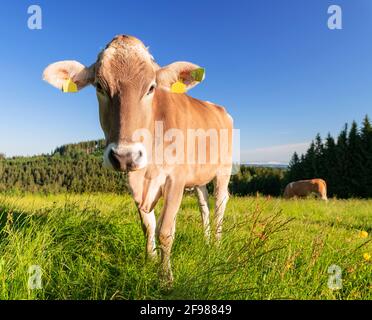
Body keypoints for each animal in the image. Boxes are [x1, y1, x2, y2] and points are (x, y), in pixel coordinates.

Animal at [41, 35, 232, 288]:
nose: (124, 156)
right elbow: (148, 226)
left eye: (151, 87)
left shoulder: (176, 179)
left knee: (220, 203)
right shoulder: (135, 180)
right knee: (204, 206)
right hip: (199, 177)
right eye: (99, 86)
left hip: (223, 170)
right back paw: (207, 240)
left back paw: (217, 246)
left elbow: (165, 231)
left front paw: (165, 278)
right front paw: (149, 261)